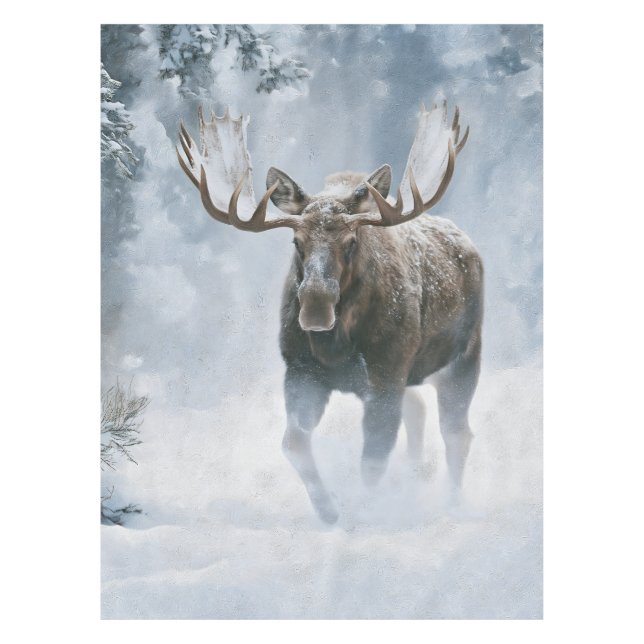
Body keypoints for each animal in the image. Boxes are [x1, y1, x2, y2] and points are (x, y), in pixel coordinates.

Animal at [176, 101, 483, 524]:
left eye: (352, 241)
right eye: (296, 241)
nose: (315, 310)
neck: (337, 347)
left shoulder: (386, 373)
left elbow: (373, 457)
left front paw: (360, 513)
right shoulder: (301, 371)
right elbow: (293, 443)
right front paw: (330, 510)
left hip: (464, 356)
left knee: (457, 433)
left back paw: (451, 504)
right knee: (419, 410)